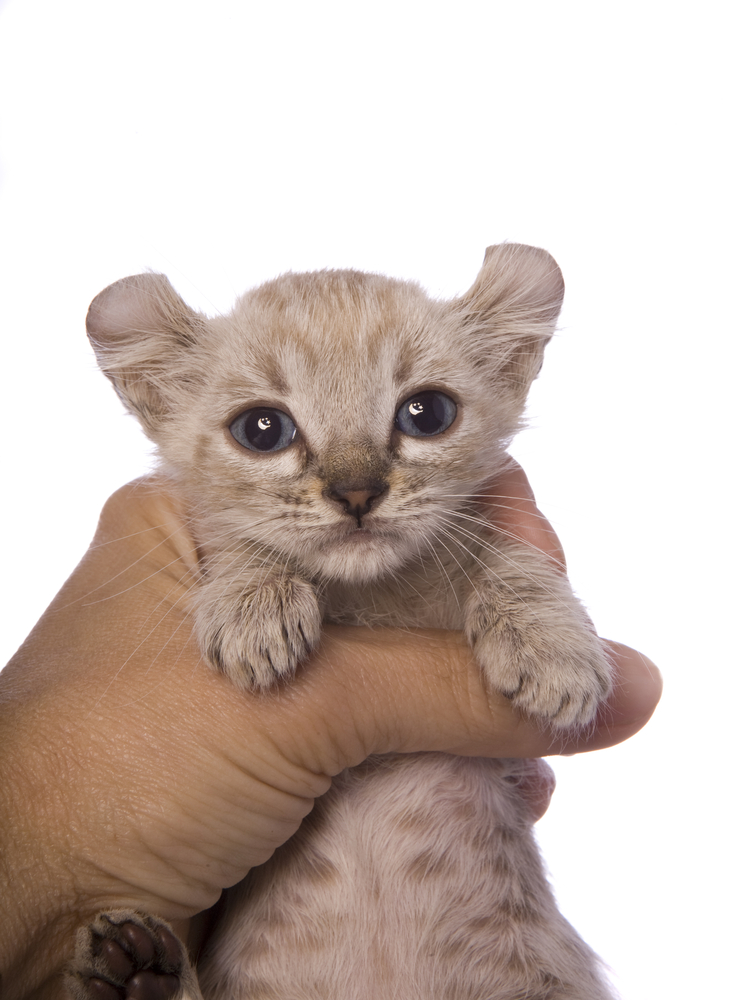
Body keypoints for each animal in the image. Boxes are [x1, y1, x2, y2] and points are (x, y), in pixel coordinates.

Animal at [67, 242, 616, 1000]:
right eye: (261, 429)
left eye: (427, 413)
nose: (356, 492)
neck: (373, 594)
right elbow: (241, 543)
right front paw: (254, 608)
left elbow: (510, 557)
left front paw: (551, 649)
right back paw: (137, 966)